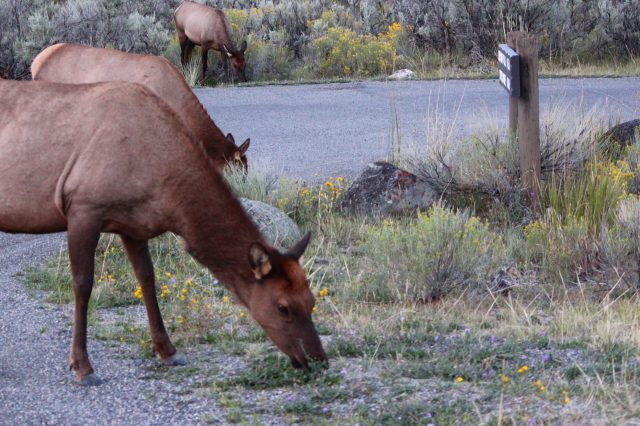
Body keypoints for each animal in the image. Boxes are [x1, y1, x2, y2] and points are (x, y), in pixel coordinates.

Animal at [0, 78, 328, 384]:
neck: (166, 193)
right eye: (283, 307)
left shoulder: (132, 225)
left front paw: (167, 351)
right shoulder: (83, 208)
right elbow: (83, 285)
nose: (318, 360)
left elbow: (147, 278)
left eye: (312, 301)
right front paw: (82, 366)